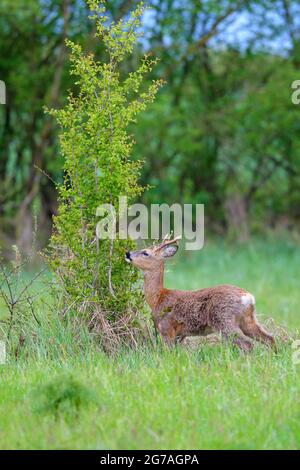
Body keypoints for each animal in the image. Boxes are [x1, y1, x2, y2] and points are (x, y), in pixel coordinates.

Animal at [125, 237, 276, 350]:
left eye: (145, 253)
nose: (127, 253)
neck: (157, 298)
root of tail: (248, 297)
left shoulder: (167, 328)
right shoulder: (180, 334)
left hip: (223, 319)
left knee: (247, 344)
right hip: (248, 319)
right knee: (270, 338)